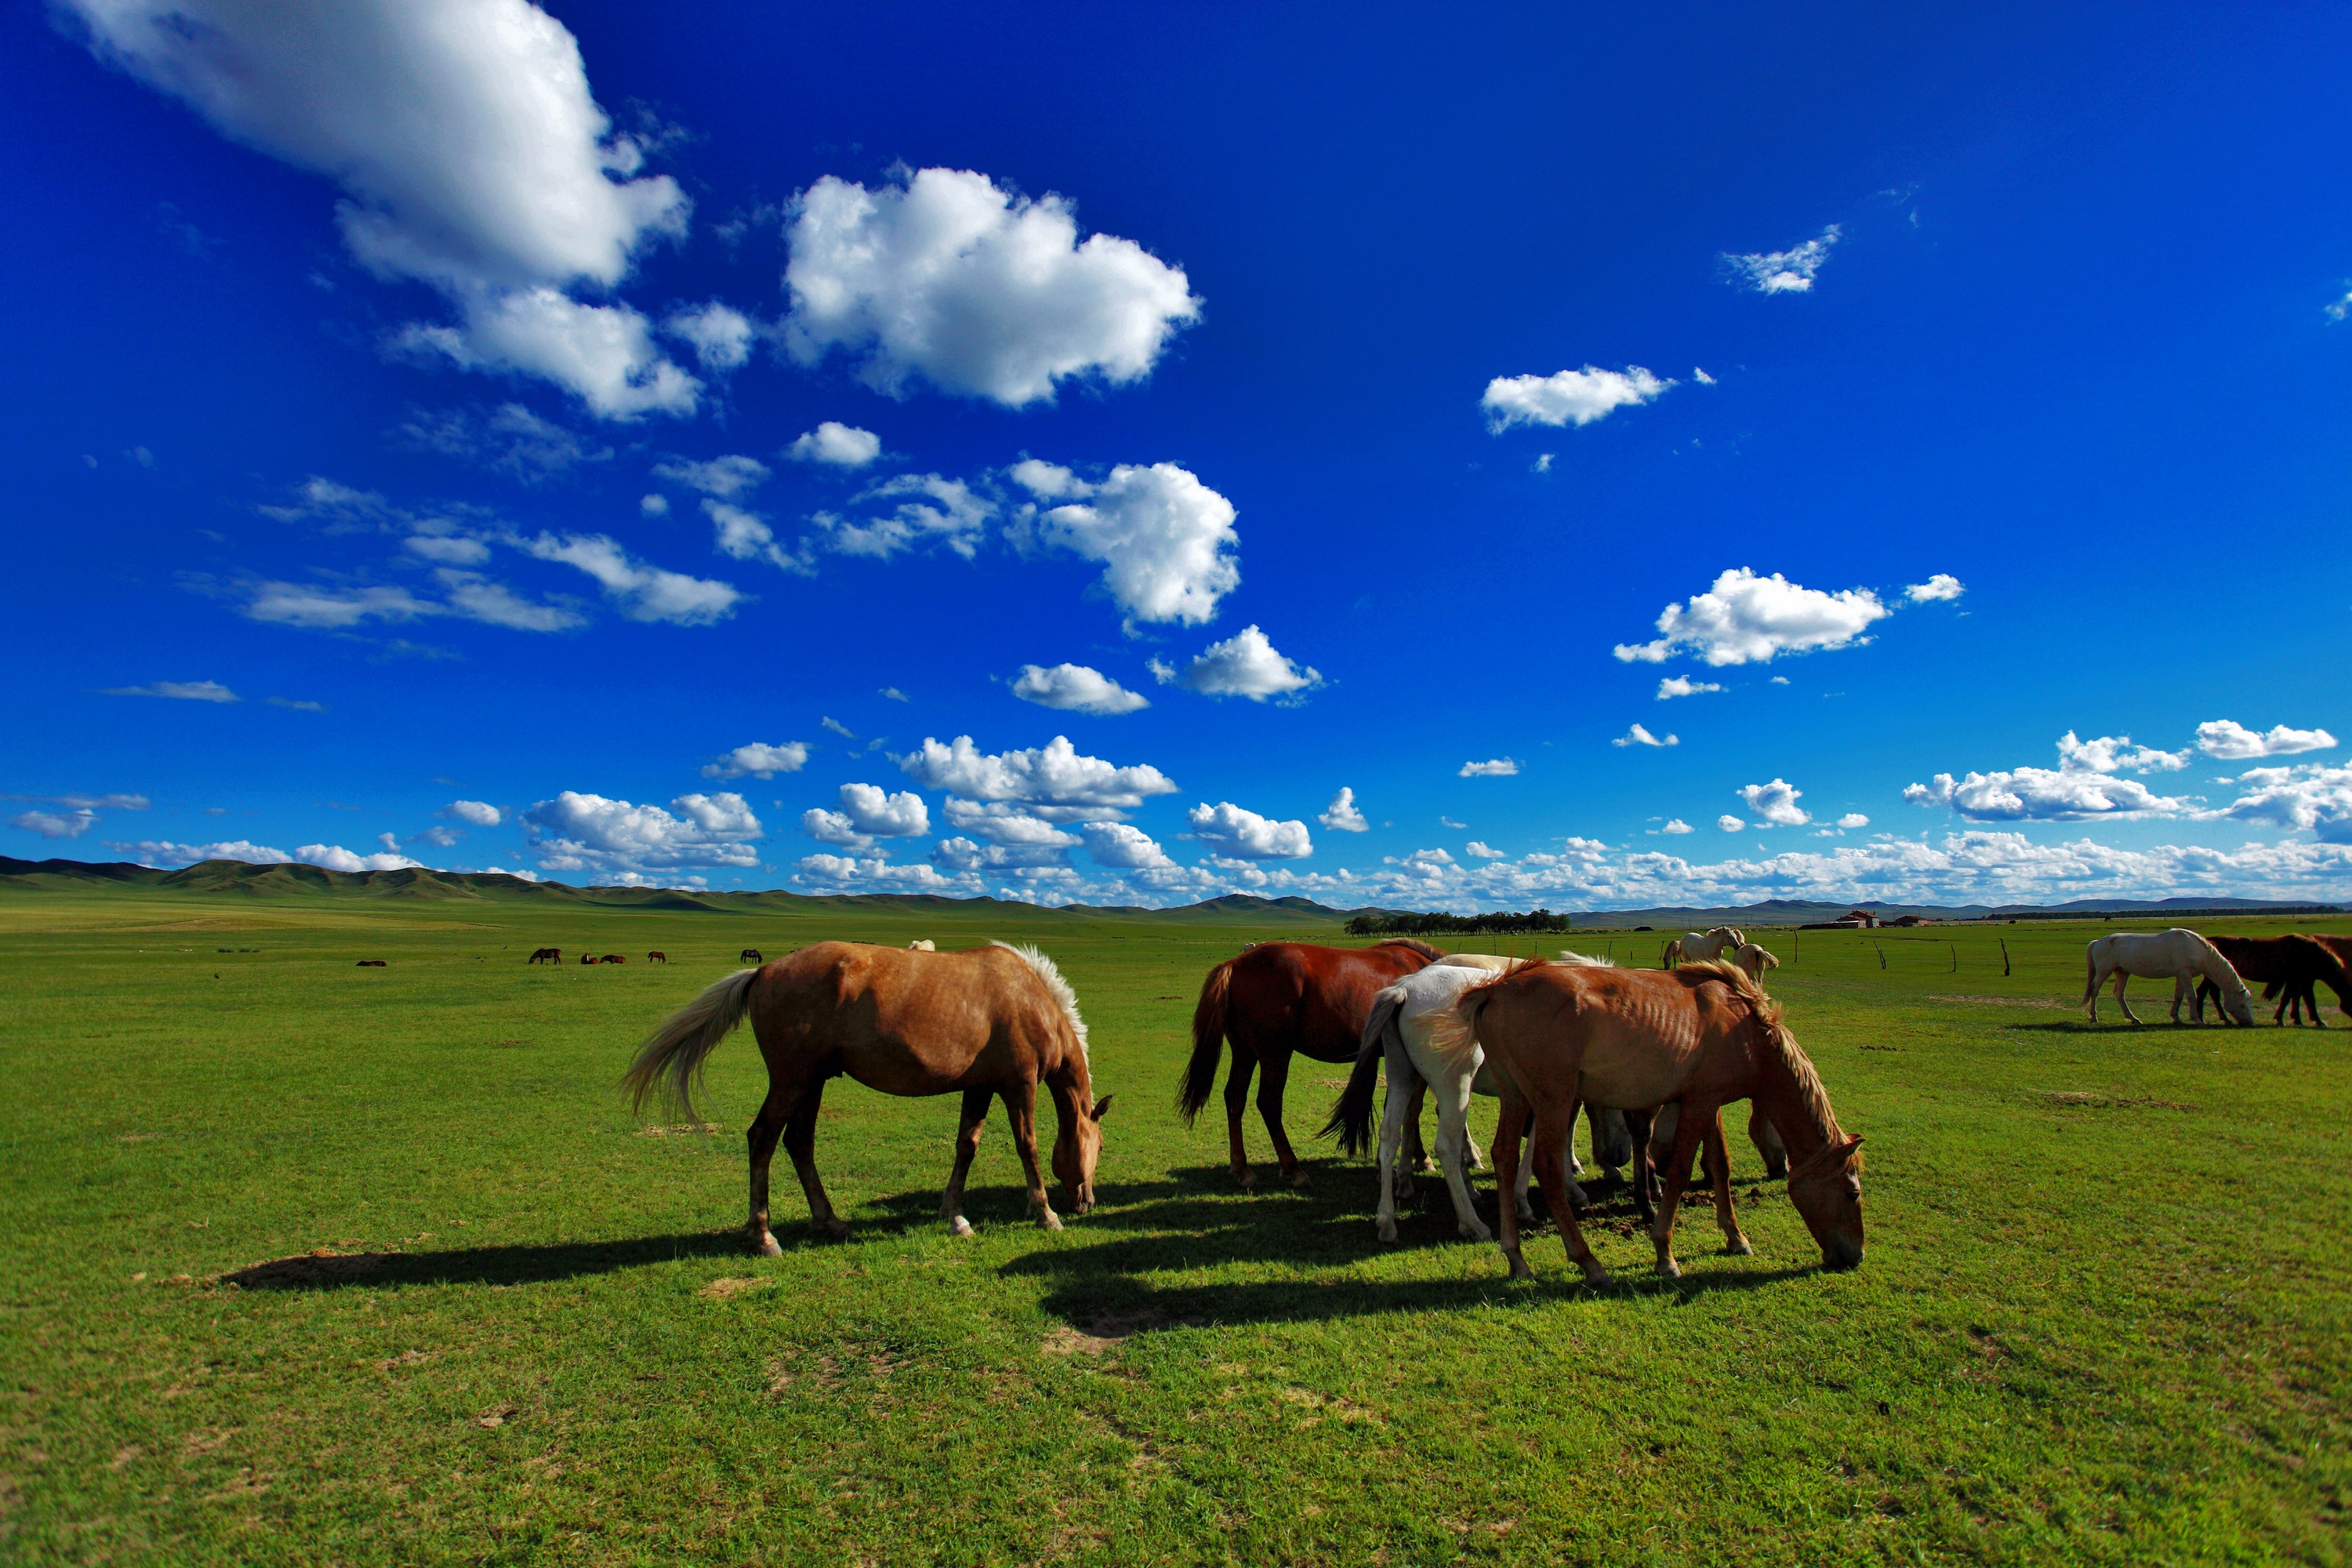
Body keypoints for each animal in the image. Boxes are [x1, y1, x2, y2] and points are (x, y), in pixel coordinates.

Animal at [621, 940, 1105, 1260]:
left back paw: (829, 1222)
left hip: (811, 1082)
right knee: (762, 1138)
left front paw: (955, 1216)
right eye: (1099, 1146)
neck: (1032, 1001)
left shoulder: (980, 1086)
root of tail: (762, 972)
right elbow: (1028, 1146)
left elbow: (966, 1146)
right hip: (791, 1080)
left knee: (799, 1143)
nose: (1088, 1202)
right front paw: (1045, 1214)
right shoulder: (1019, 1085)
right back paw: (764, 1237)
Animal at [1176, 945, 1449, 1189]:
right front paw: (1421, 1158)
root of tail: (1234, 964)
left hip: (1245, 1052)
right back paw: (1295, 1170)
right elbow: (1412, 1110)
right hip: (1275, 1054)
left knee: (1235, 1097)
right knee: (1269, 1103)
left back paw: (1243, 1170)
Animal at [1439, 964, 1863, 1279]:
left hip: (1516, 1098)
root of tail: (1496, 989)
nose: (1855, 1256)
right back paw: (1587, 1261)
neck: (1745, 1028)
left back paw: (1517, 1259)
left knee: (1504, 1157)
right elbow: (1679, 1173)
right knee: (1545, 1165)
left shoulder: (1708, 1102)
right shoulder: (1697, 1105)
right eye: (1852, 1193)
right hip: (1552, 1101)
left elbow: (1720, 1165)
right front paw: (1665, 1254)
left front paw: (1735, 1236)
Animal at [2089, 931, 2249, 1029]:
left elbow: (2178, 996)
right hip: (2104, 971)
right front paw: (2197, 1020)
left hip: (2122, 972)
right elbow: (2191, 996)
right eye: (2242, 1005)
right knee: (2095, 991)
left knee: (2119, 993)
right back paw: (2093, 1017)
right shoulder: (2185, 974)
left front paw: (2176, 1018)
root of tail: (2097, 942)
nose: (2249, 1023)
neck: (2196, 950)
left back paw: (2134, 1019)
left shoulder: (2181, 975)